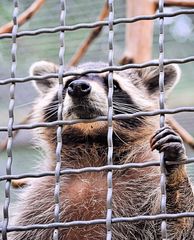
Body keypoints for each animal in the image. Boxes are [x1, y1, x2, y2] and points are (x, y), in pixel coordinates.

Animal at [8, 61, 194, 239]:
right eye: (68, 83)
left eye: (114, 85)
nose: (77, 87)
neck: (92, 146)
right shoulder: (38, 199)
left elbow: (179, 230)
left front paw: (176, 166)